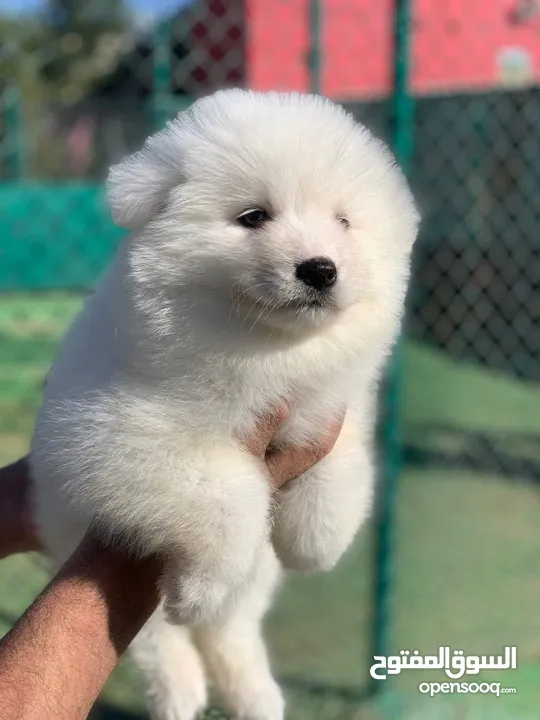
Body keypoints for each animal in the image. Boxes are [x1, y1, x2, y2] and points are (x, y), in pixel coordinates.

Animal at [28, 91, 418, 720]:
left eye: (342, 221)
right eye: (254, 216)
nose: (319, 268)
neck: (265, 350)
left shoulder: (334, 410)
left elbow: (342, 465)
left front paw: (317, 542)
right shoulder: (118, 433)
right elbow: (230, 492)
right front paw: (199, 589)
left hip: (257, 583)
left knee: (232, 629)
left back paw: (255, 694)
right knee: (160, 637)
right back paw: (181, 686)